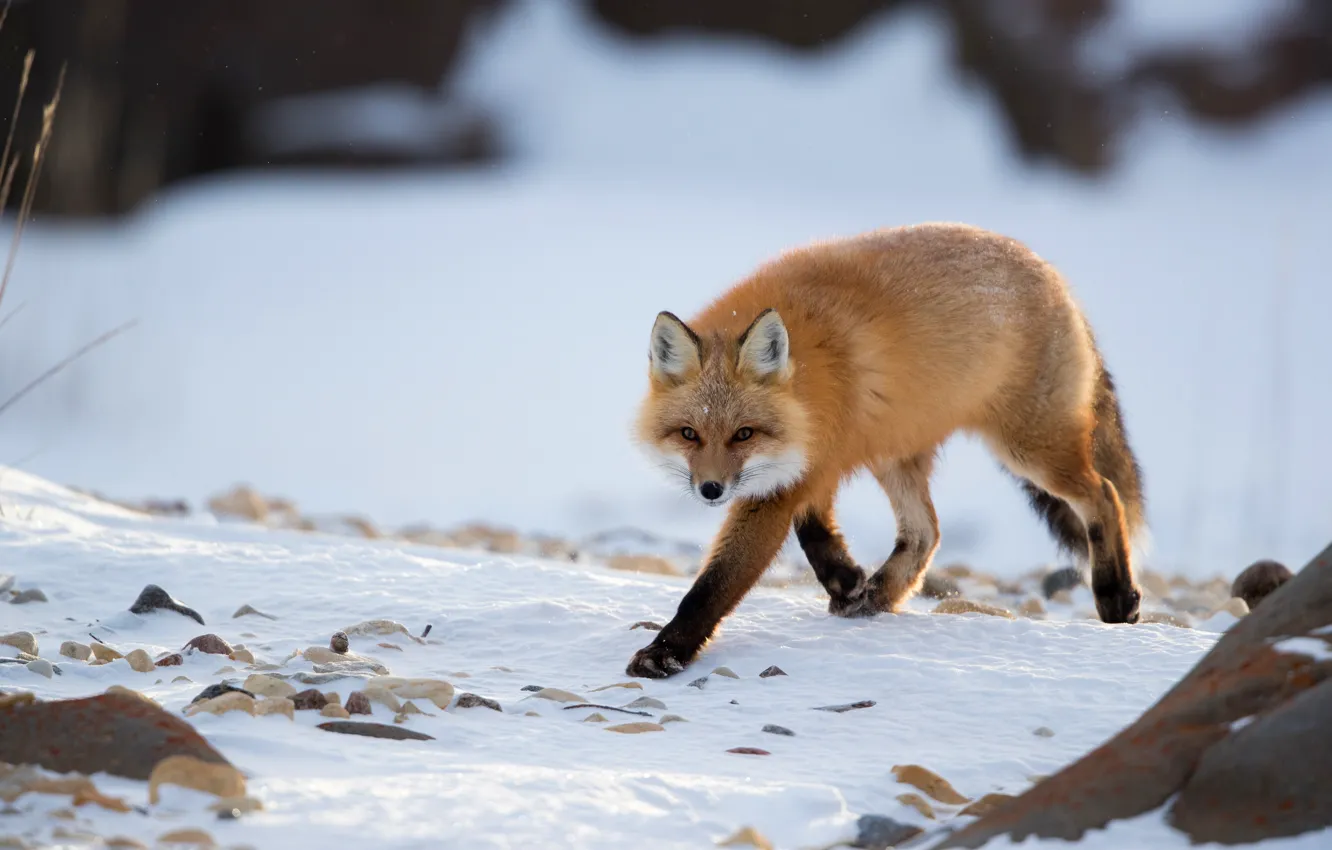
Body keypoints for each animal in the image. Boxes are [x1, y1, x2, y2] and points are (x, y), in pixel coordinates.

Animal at [626, 222, 1145, 679]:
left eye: (744, 434)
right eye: (689, 434)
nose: (711, 490)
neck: (806, 385)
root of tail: (1051, 275)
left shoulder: (789, 477)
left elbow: (713, 586)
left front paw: (665, 654)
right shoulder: (814, 460)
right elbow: (814, 528)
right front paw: (847, 580)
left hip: (1027, 449)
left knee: (1104, 494)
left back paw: (1117, 596)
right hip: (895, 452)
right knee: (926, 533)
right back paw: (879, 596)